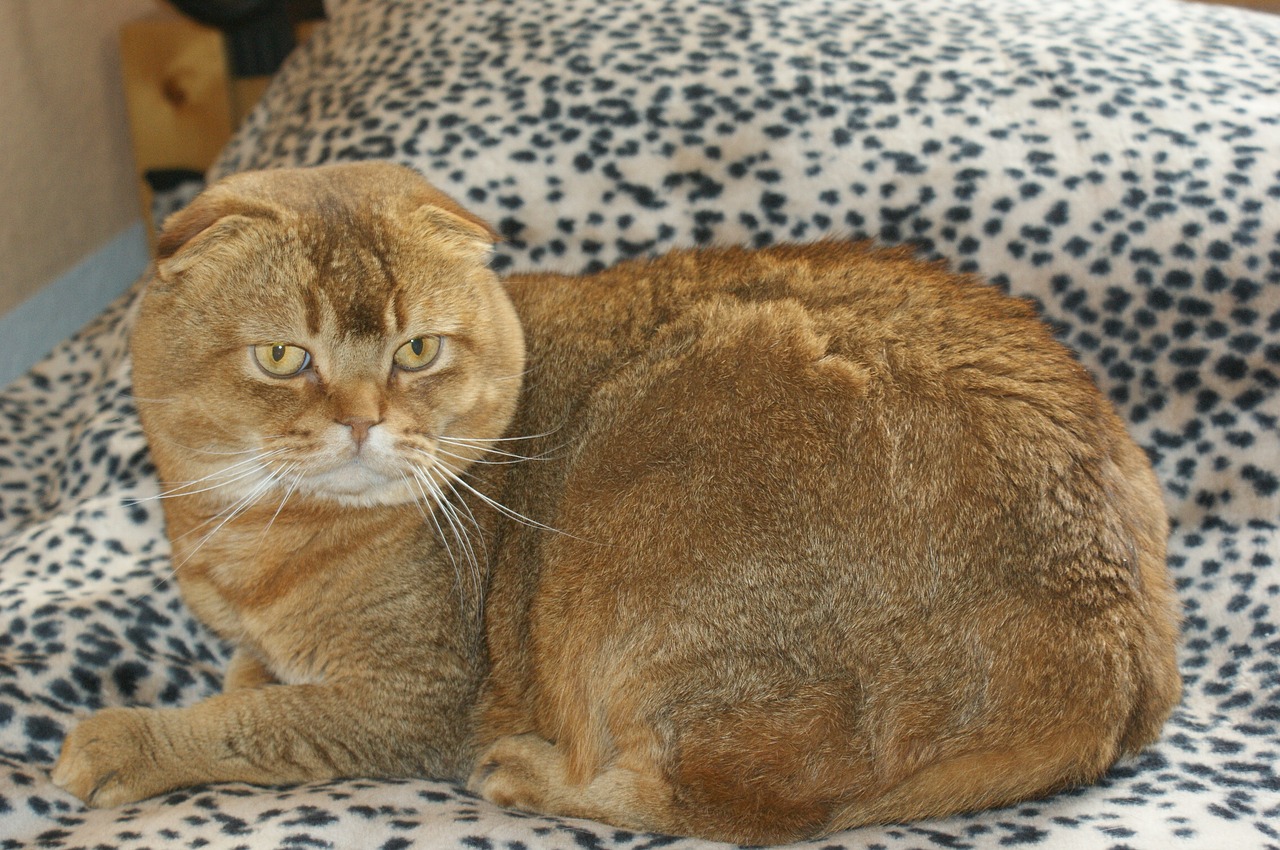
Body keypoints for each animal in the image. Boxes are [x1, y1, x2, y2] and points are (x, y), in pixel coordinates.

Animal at [55, 161, 1182, 844]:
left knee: (721, 806)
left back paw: (533, 775)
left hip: (640, 583)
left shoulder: (412, 700)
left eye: (417, 350)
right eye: (284, 358)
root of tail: (1115, 659)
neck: (247, 536)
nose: (364, 422)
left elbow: (251, 719)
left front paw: (127, 742)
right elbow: (251, 673)